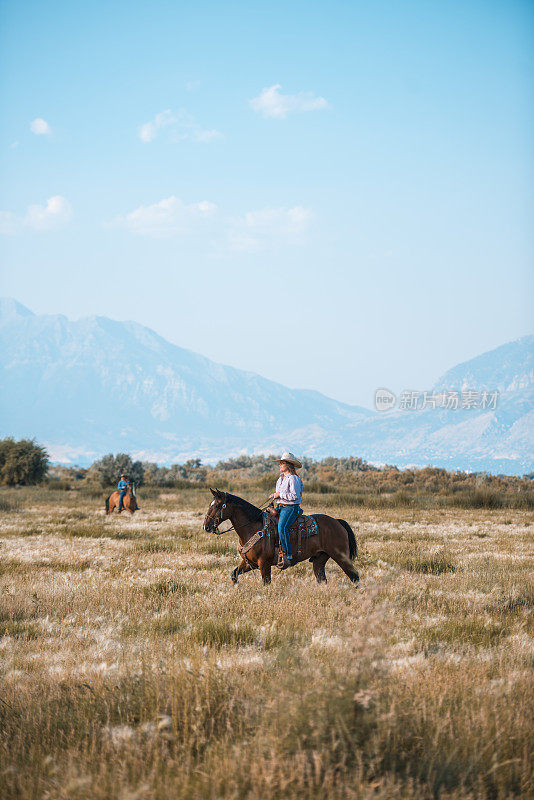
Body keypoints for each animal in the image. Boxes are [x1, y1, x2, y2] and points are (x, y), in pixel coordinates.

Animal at [204, 484, 360, 584]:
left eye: (217, 505)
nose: (206, 526)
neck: (253, 528)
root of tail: (337, 522)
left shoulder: (264, 564)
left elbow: (266, 583)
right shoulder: (249, 563)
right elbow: (234, 574)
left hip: (341, 557)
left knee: (355, 577)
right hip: (319, 559)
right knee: (322, 580)